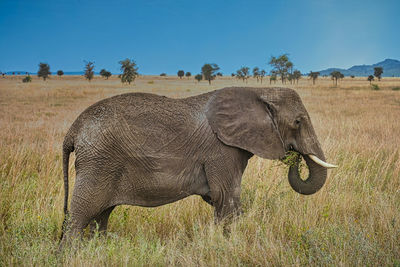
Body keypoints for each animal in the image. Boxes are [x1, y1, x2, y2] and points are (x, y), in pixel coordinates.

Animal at [58, 87, 334, 244]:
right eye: (297, 122)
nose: (293, 155)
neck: (261, 90)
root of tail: (73, 130)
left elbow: (219, 200)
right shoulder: (221, 151)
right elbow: (226, 198)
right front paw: (229, 247)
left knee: (100, 217)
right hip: (98, 162)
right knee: (81, 215)